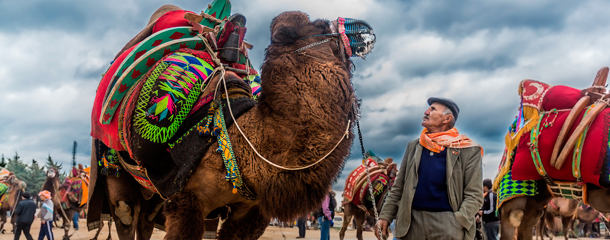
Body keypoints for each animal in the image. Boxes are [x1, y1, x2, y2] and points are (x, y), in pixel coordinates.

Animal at [88, 3, 372, 238]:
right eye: (322, 25)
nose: (365, 30)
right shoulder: (187, 198)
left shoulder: (251, 211)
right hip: (116, 173)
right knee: (127, 214)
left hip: (153, 197)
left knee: (145, 222)